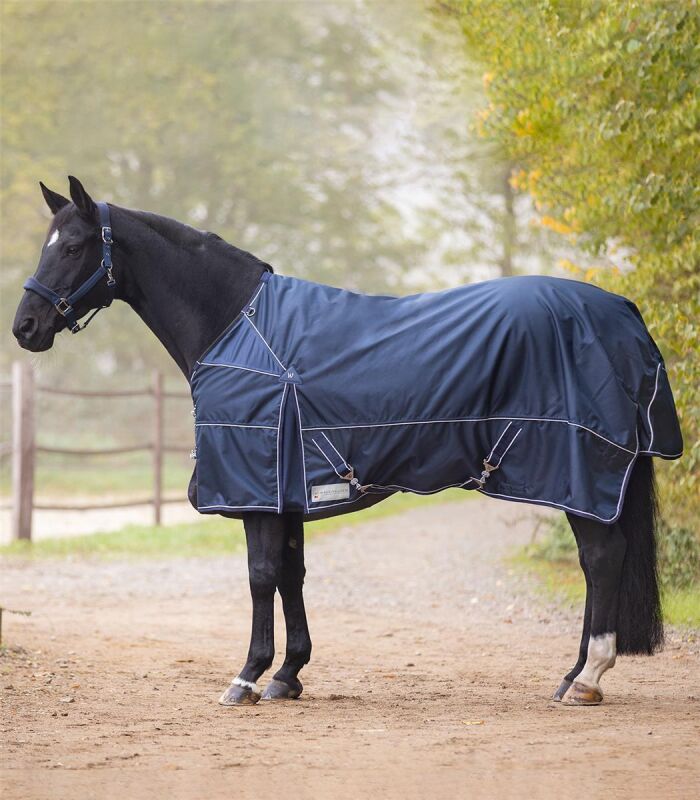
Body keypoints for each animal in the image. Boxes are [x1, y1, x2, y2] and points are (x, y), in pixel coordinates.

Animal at [13, 177, 683, 707]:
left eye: (71, 246)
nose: (25, 326)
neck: (234, 322)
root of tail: (623, 311)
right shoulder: (287, 490)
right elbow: (292, 574)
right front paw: (287, 676)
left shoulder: (258, 486)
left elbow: (260, 576)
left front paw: (247, 677)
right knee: (598, 565)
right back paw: (571, 675)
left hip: (579, 471)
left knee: (601, 561)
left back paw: (587, 678)